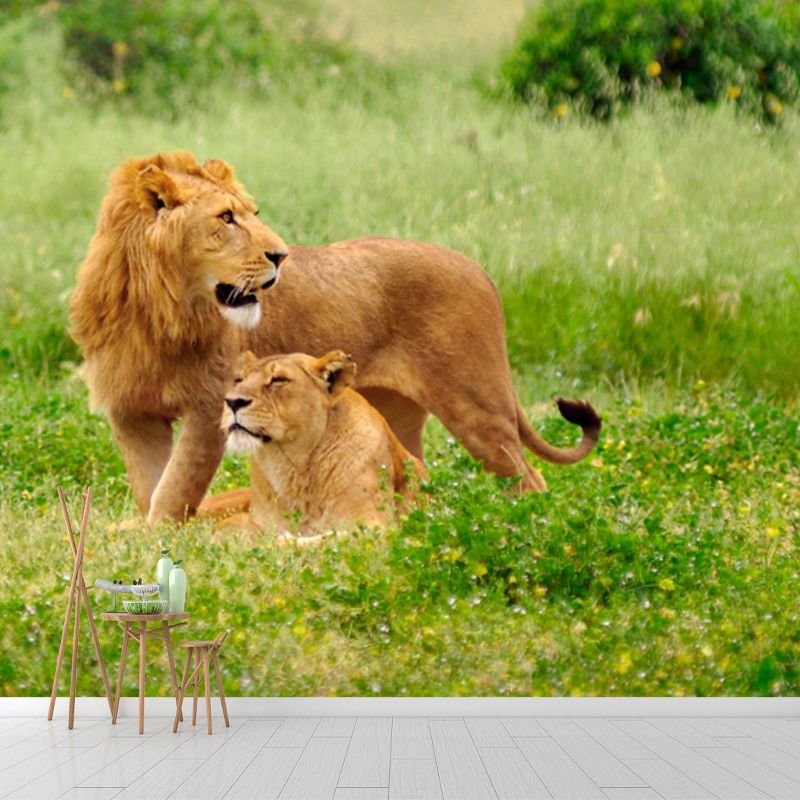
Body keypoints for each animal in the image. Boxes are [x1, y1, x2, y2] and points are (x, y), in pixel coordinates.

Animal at [207, 349, 426, 539]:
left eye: (278, 380)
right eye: (239, 380)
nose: (232, 402)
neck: (293, 465)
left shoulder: (372, 526)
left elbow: (326, 538)